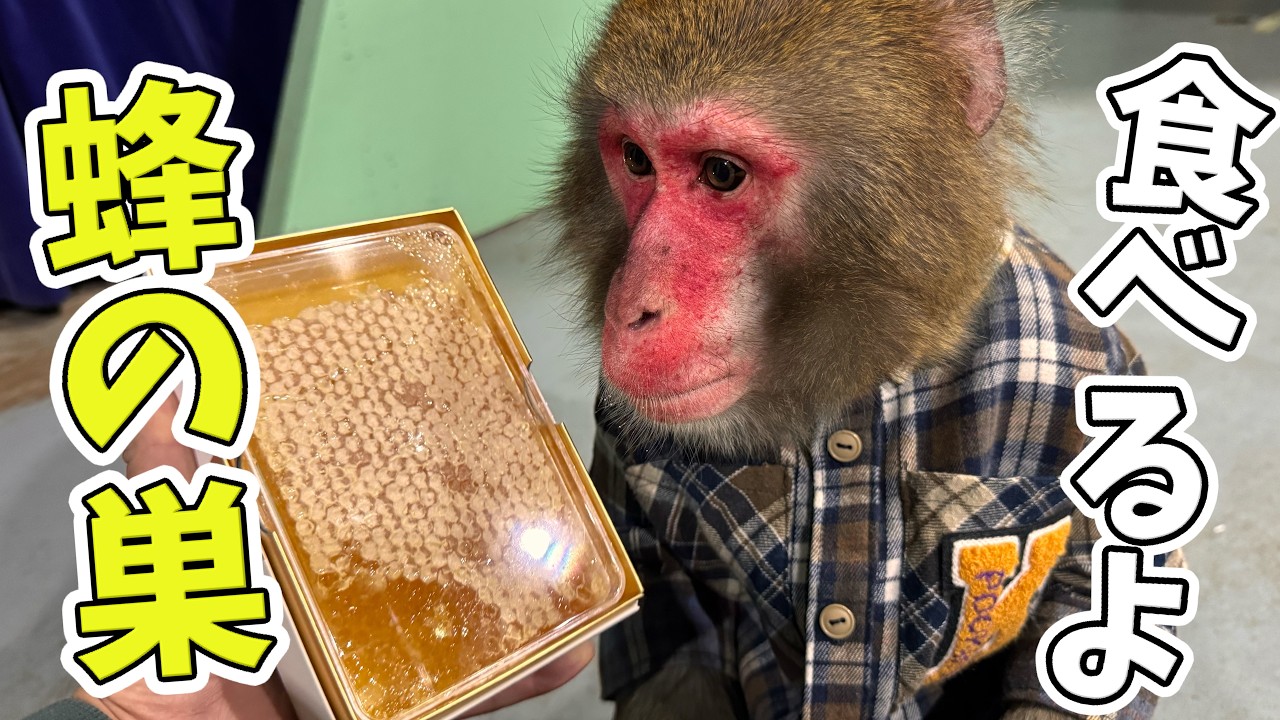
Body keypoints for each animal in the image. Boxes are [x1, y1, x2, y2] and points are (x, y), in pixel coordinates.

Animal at [548, 1, 1178, 719]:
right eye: (634, 158)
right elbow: (673, 631)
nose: (630, 307)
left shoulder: (1086, 357)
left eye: (721, 172)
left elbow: (1085, 574)